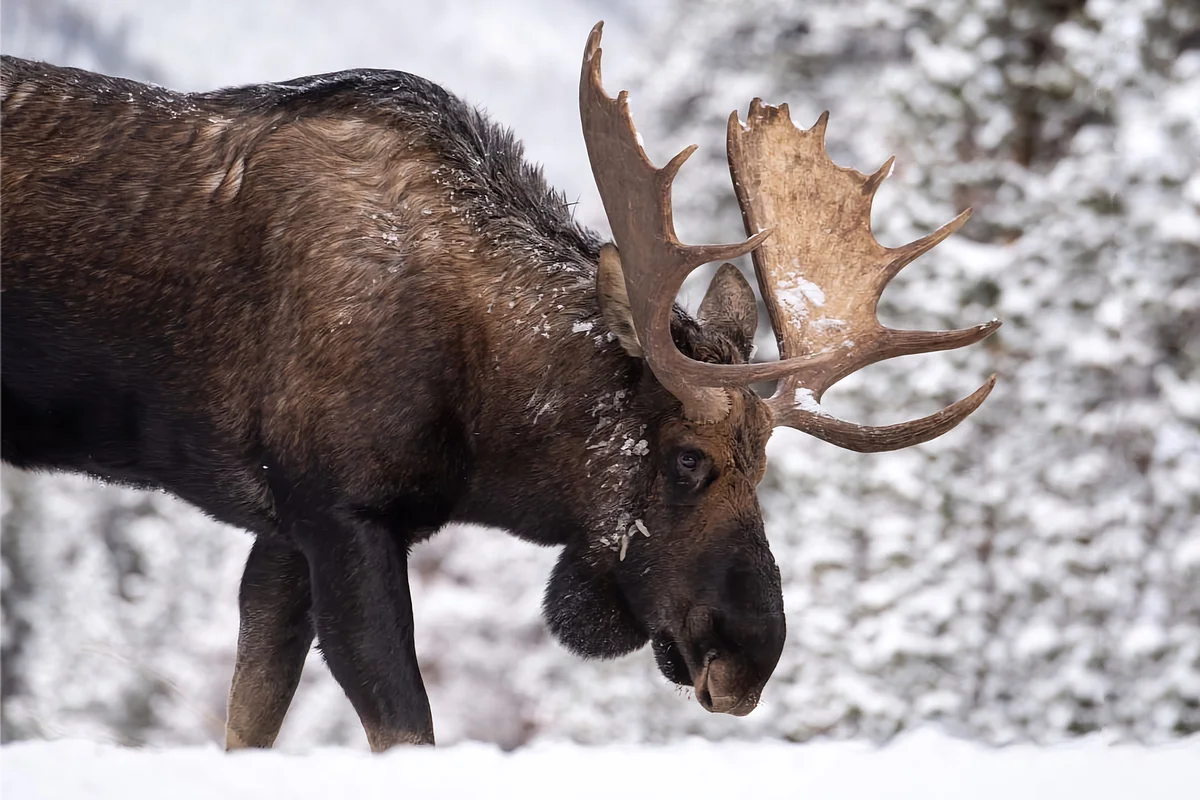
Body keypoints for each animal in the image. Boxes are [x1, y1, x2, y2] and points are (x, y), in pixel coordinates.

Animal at [0, 25, 998, 753]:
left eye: (763, 467)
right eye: (687, 459)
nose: (750, 655)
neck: (482, 426)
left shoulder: (281, 535)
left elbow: (249, 726)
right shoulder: (341, 512)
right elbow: (408, 730)